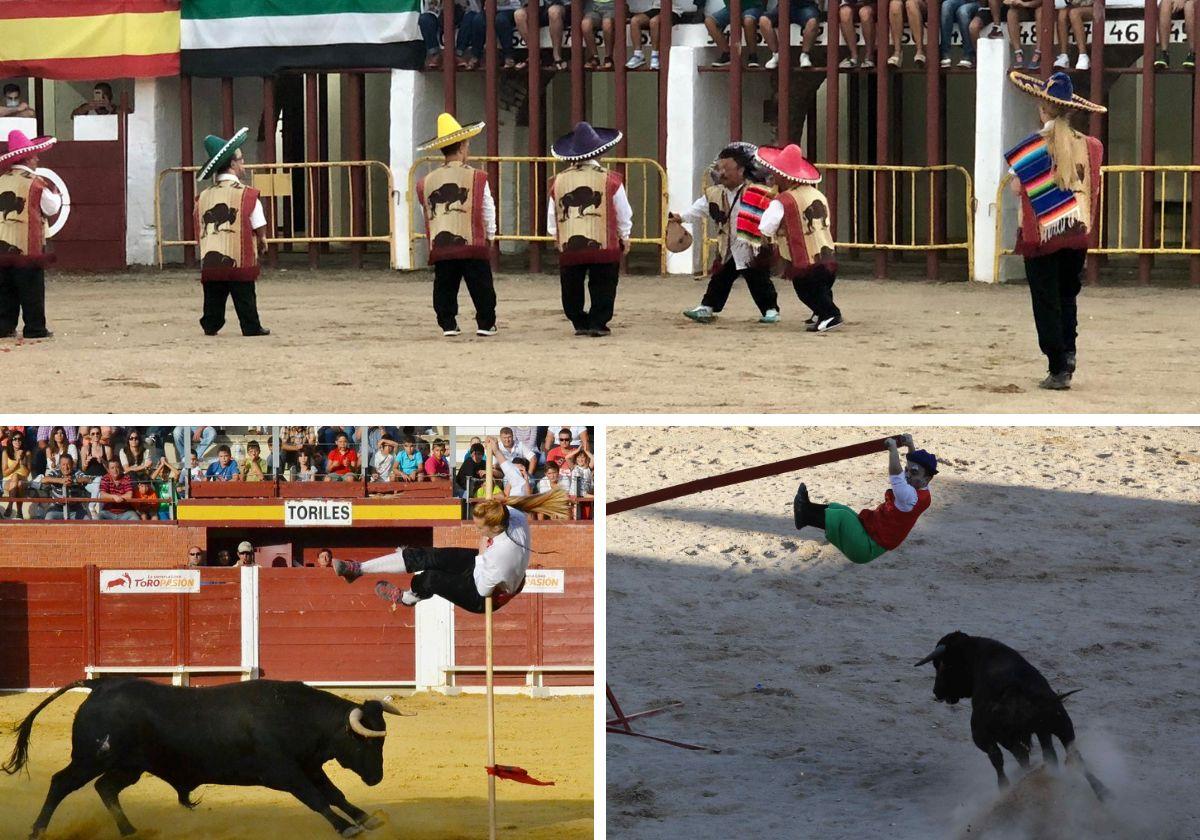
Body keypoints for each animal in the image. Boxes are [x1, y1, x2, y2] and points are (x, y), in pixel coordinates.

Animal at [2, 681, 405, 835]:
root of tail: (100, 684)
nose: (376, 779)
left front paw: (366, 818)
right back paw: (37, 830)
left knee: (106, 788)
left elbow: (334, 793)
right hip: (91, 759)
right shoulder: (285, 772)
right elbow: (316, 798)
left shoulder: (308, 766)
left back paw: (130, 830)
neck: (294, 714)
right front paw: (346, 827)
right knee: (61, 782)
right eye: (368, 744)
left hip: (129, 767)